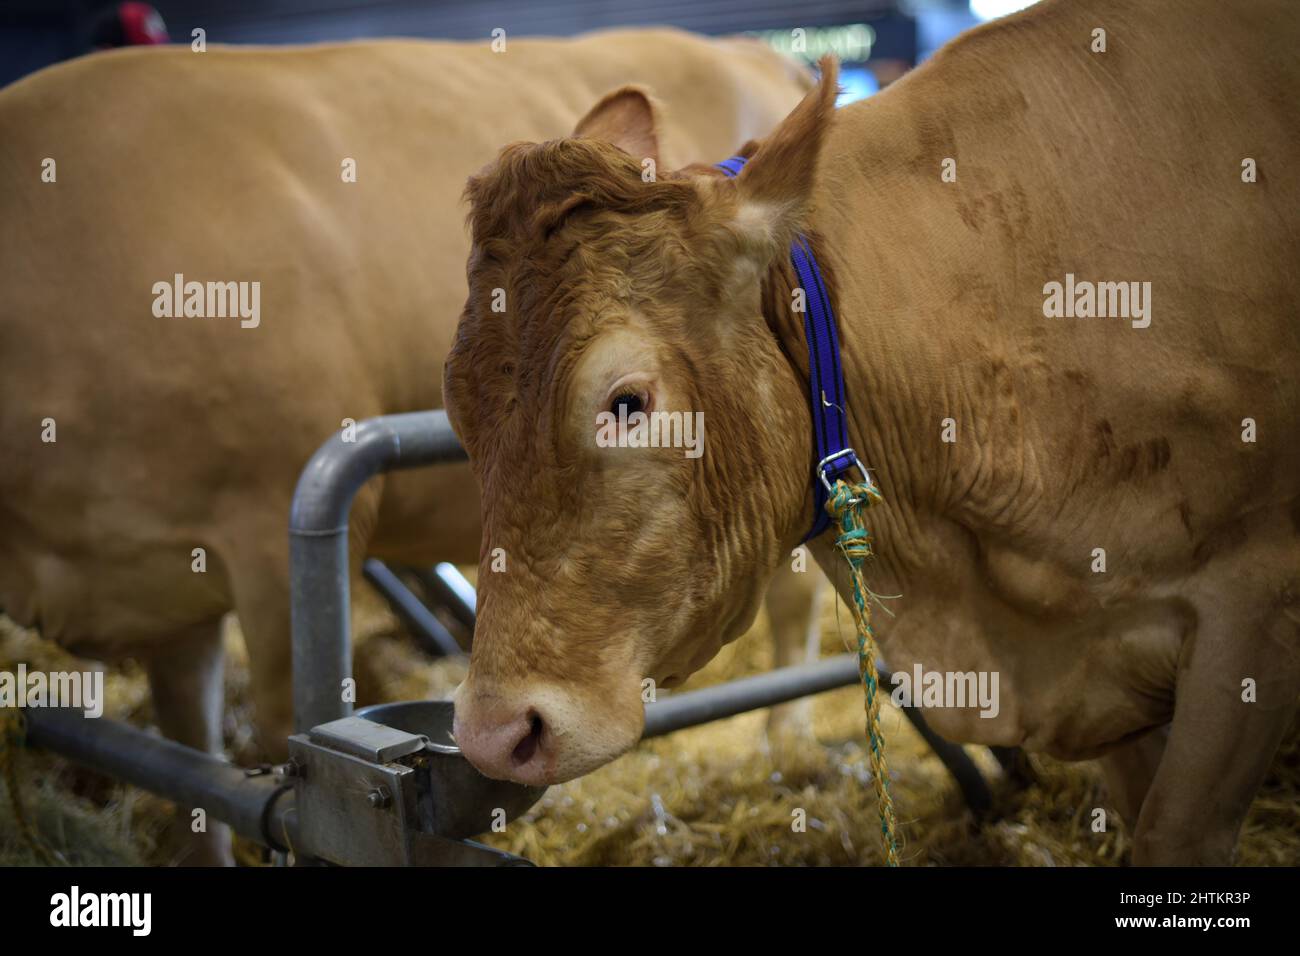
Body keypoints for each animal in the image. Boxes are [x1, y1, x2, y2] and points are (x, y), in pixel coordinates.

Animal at [0, 30, 815, 863]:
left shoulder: (271, 531)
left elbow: (282, 733)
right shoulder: (171, 596)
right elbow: (194, 763)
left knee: (796, 600)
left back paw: (785, 736)